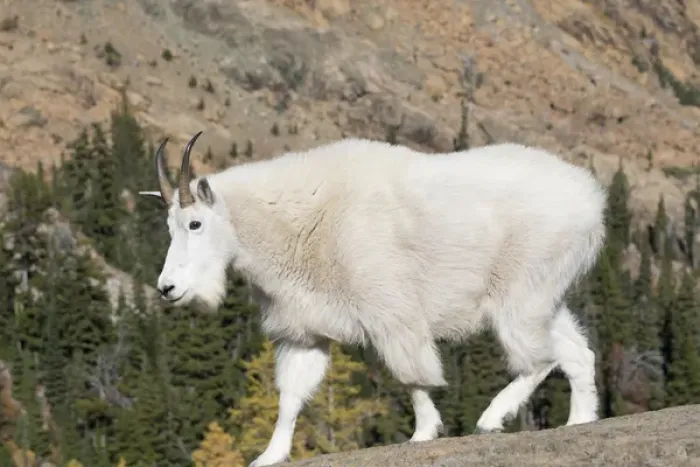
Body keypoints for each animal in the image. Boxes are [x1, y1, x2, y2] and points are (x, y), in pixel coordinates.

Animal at [140, 132, 607, 467]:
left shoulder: (391, 312)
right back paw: (580, 421)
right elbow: (290, 397)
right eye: (169, 226)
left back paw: (492, 418)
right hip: (545, 295)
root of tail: (593, 200)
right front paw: (269, 456)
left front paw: (423, 433)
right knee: (576, 353)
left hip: (520, 291)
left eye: (195, 223)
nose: (167, 288)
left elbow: (412, 376)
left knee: (539, 359)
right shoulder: (305, 334)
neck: (296, 219)